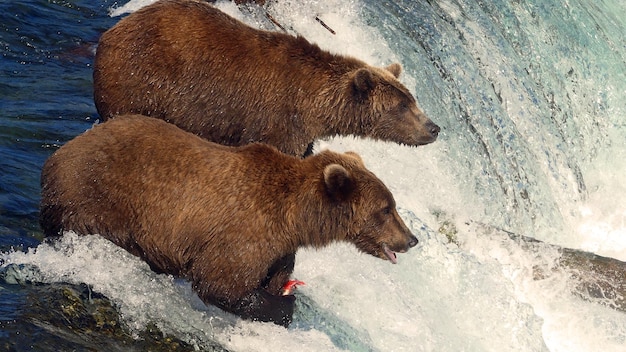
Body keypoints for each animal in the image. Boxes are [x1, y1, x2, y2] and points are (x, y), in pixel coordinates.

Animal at [40, 115, 420, 328]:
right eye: (386, 209)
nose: (412, 239)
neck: (297, 218)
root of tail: (66, 147)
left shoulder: (279, 247)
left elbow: (269, 276)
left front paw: (283, 291)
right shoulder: (247, 233)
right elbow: (222, 283)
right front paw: (284, 304)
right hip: (94, 196)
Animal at [91, 0, 438, 157]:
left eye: (412, 99)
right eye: (402, 106)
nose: (434, 128)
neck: (319, 107)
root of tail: (111, 31)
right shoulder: (280, 119)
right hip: (141, 82)